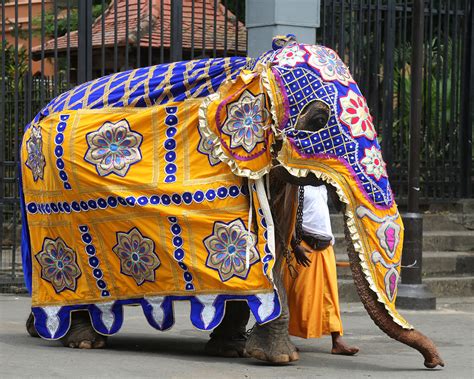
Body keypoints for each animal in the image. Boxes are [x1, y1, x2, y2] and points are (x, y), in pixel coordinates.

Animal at [20, 35, 444, 368]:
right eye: (318, 119)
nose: (434, 362)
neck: (254, 69)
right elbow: (257, 248)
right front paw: (277, 358)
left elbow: (273, 244)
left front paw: (232, 350)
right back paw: (83, 340)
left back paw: (43, 330)